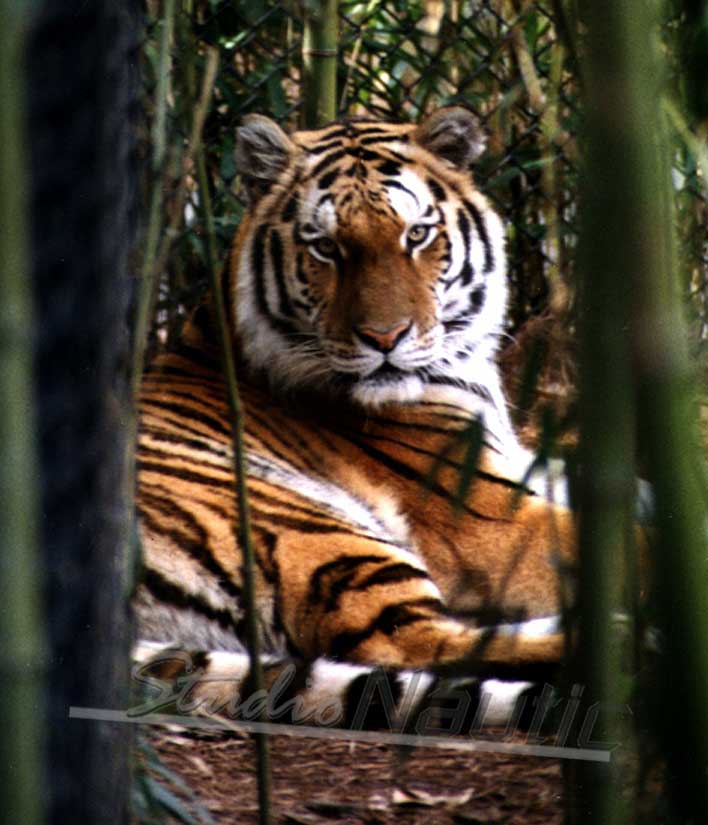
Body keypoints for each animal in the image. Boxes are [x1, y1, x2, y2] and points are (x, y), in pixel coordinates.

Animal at [134, 107, 576, 730]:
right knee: (414, 644)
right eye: (324, 247)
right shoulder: (485, 519)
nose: (385, 338)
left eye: (416, 235)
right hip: (313, 529)